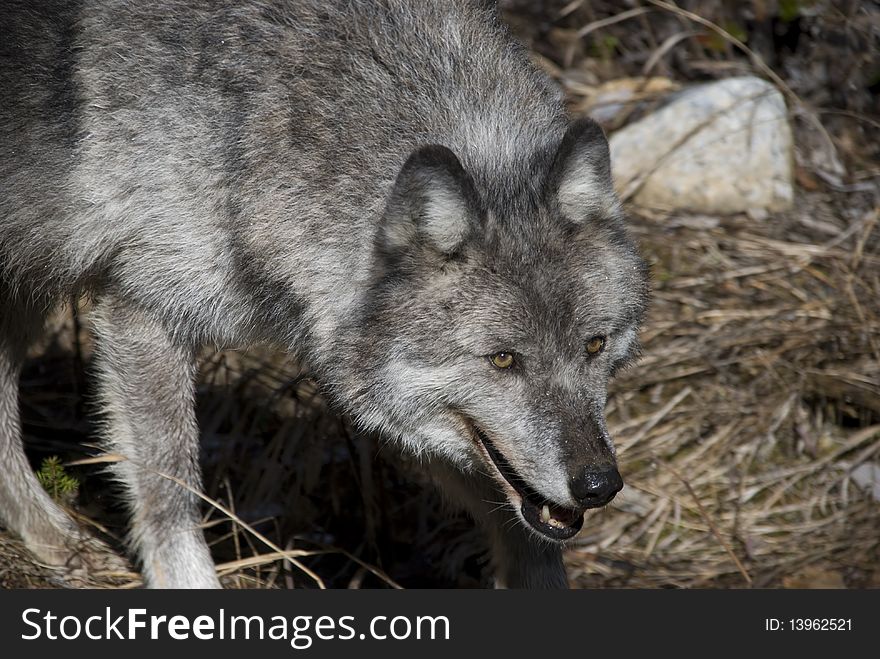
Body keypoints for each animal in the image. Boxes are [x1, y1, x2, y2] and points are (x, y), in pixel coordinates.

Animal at [0, 0, 648, 588]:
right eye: (503, 359)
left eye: (595, 346)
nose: (599, 484)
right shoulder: (143, 313)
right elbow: (170, 494)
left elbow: (528, 539)